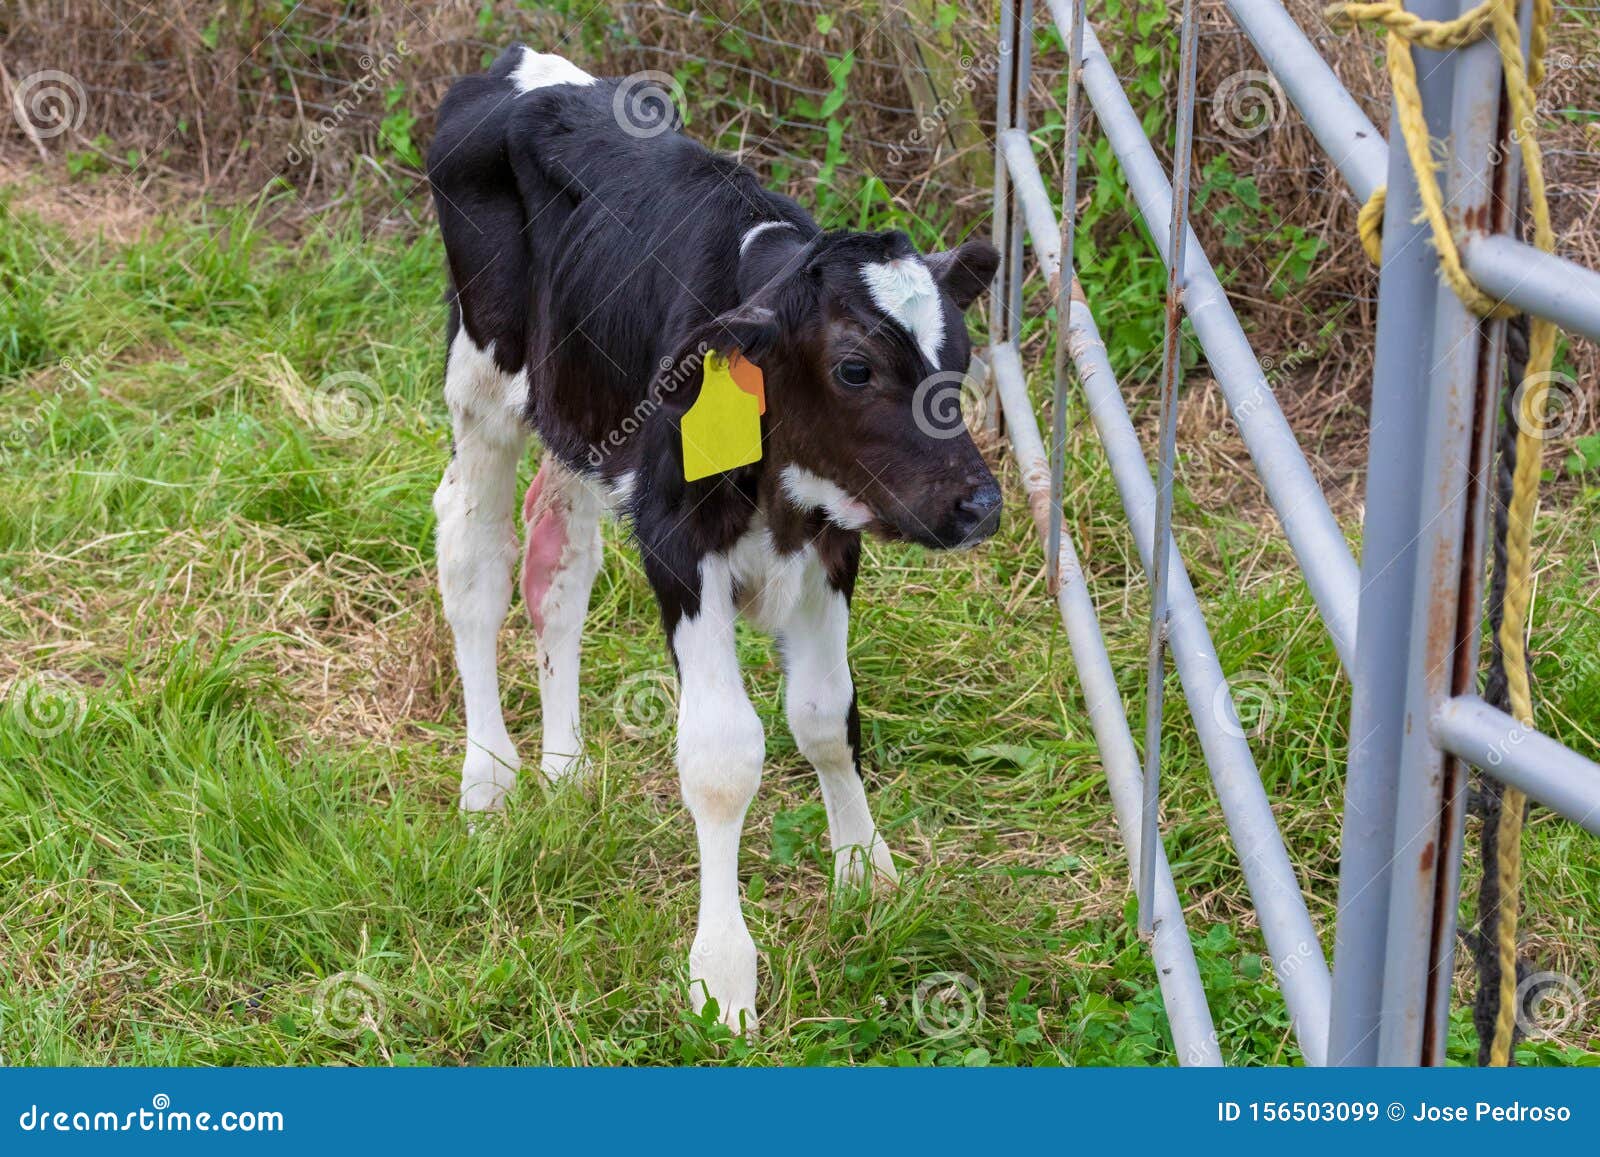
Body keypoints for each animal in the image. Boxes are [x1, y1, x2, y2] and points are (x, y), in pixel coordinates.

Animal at [426, 46, 1002, 1032]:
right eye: (855, 367)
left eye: (958, 359)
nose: (979, 502)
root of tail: (518, 63)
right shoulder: (678, 540)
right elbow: (724, 756)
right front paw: (723, 974)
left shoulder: (831, 542)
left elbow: (826, 717)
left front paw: (867, 876)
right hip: (483, 377)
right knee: (475, 559)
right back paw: (490, 780)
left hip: (580, 414)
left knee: (558, 568)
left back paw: (566, 769)